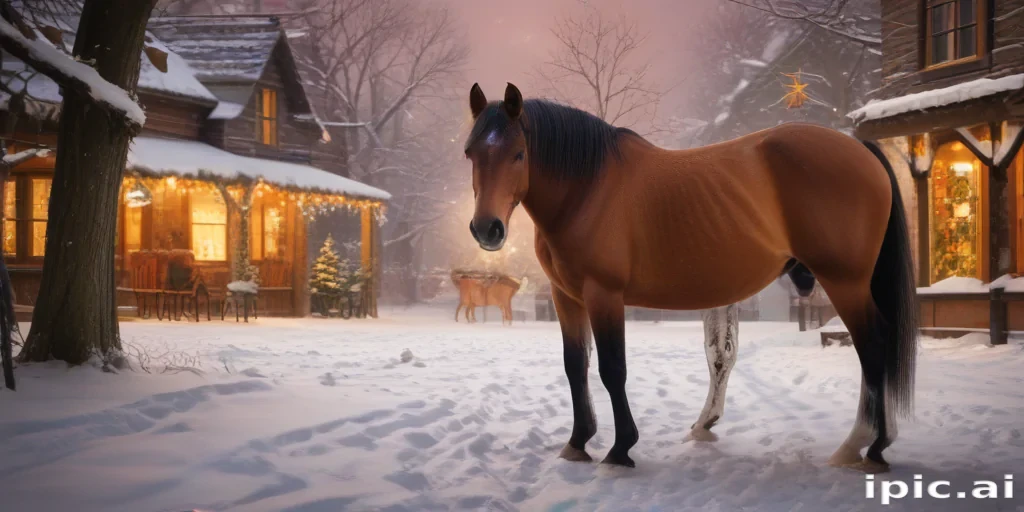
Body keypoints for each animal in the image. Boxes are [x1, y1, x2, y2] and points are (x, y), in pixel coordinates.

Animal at [462, 82, 917, 473]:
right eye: (470, 153)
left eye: (519, 154)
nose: (487, 230)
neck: (586, 189)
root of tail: (858, 148)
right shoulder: (566, 296)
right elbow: (576, 365)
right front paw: (577, 442)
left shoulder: (604, 294)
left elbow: (612, 369)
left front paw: (620, 449)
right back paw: (874, 443)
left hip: (845, 281)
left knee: (873, 346)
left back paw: (863, 445)